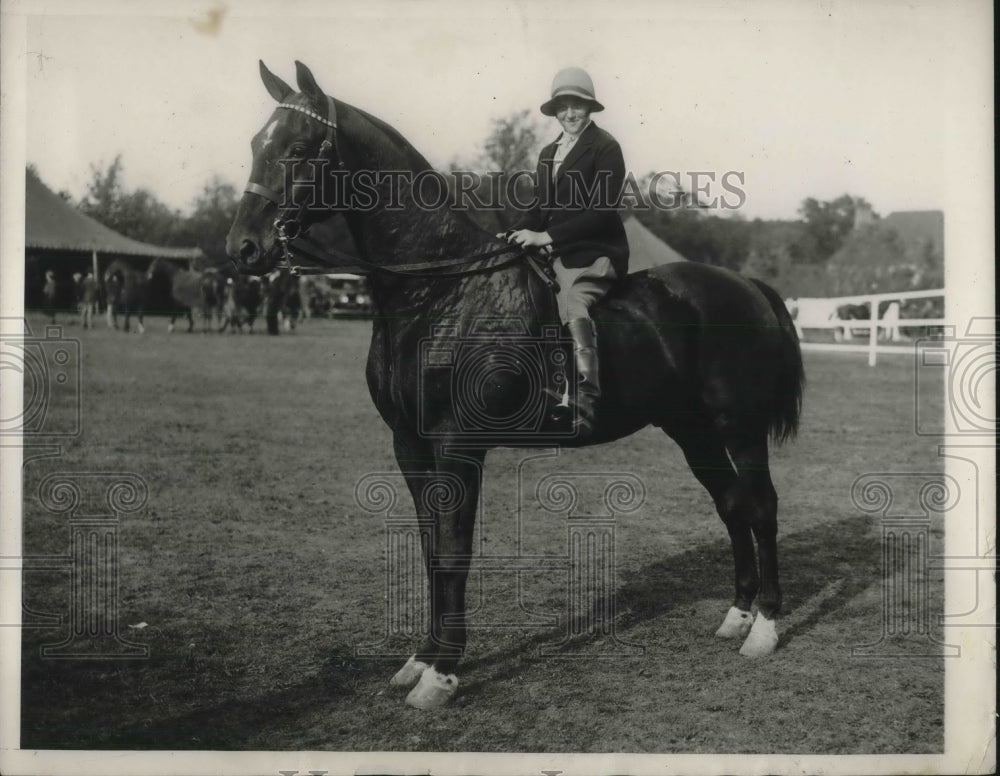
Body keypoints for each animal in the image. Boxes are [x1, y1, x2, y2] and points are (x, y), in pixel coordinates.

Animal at [227, 63, 804, 712]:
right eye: (257, 143)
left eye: (300, 148)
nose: (243, 248)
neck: (439, 290)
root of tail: (746, 285)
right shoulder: (410, 444)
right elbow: (431, 549)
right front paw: (421, 657)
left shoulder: (458, 445)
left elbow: (454, 551)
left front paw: (441, 674)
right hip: (691, 428)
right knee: (732, 504)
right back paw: (736, 615)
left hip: (739, 425)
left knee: (761, 505)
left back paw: (764, 626)